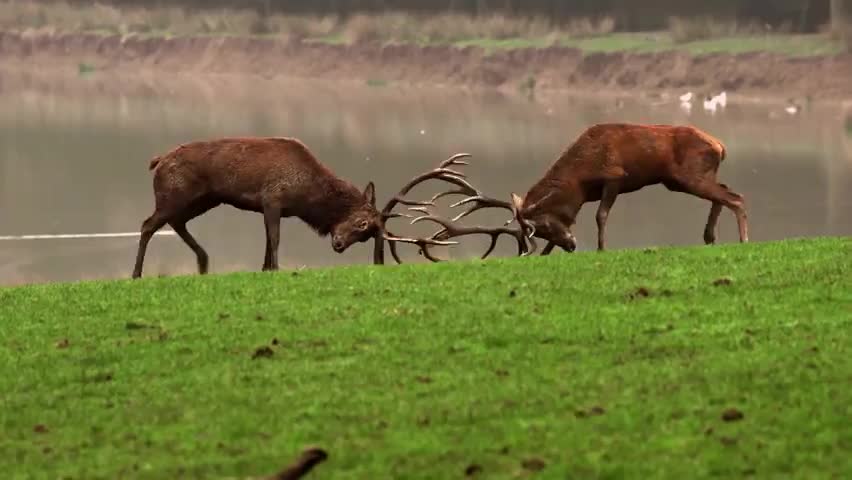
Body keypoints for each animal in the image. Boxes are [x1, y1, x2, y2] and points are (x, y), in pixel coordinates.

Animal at [440, 123, 749, 255]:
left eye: (544, 227)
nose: (571, 246)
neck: (579, 177)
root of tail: (720, 146)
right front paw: (546, 254)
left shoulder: (614, 177)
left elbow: (601, 216)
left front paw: (602, 248)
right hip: (680, 180)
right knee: (724, 192)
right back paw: (709, 237)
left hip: (688, 176)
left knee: (736, 197)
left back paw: (743, 239)